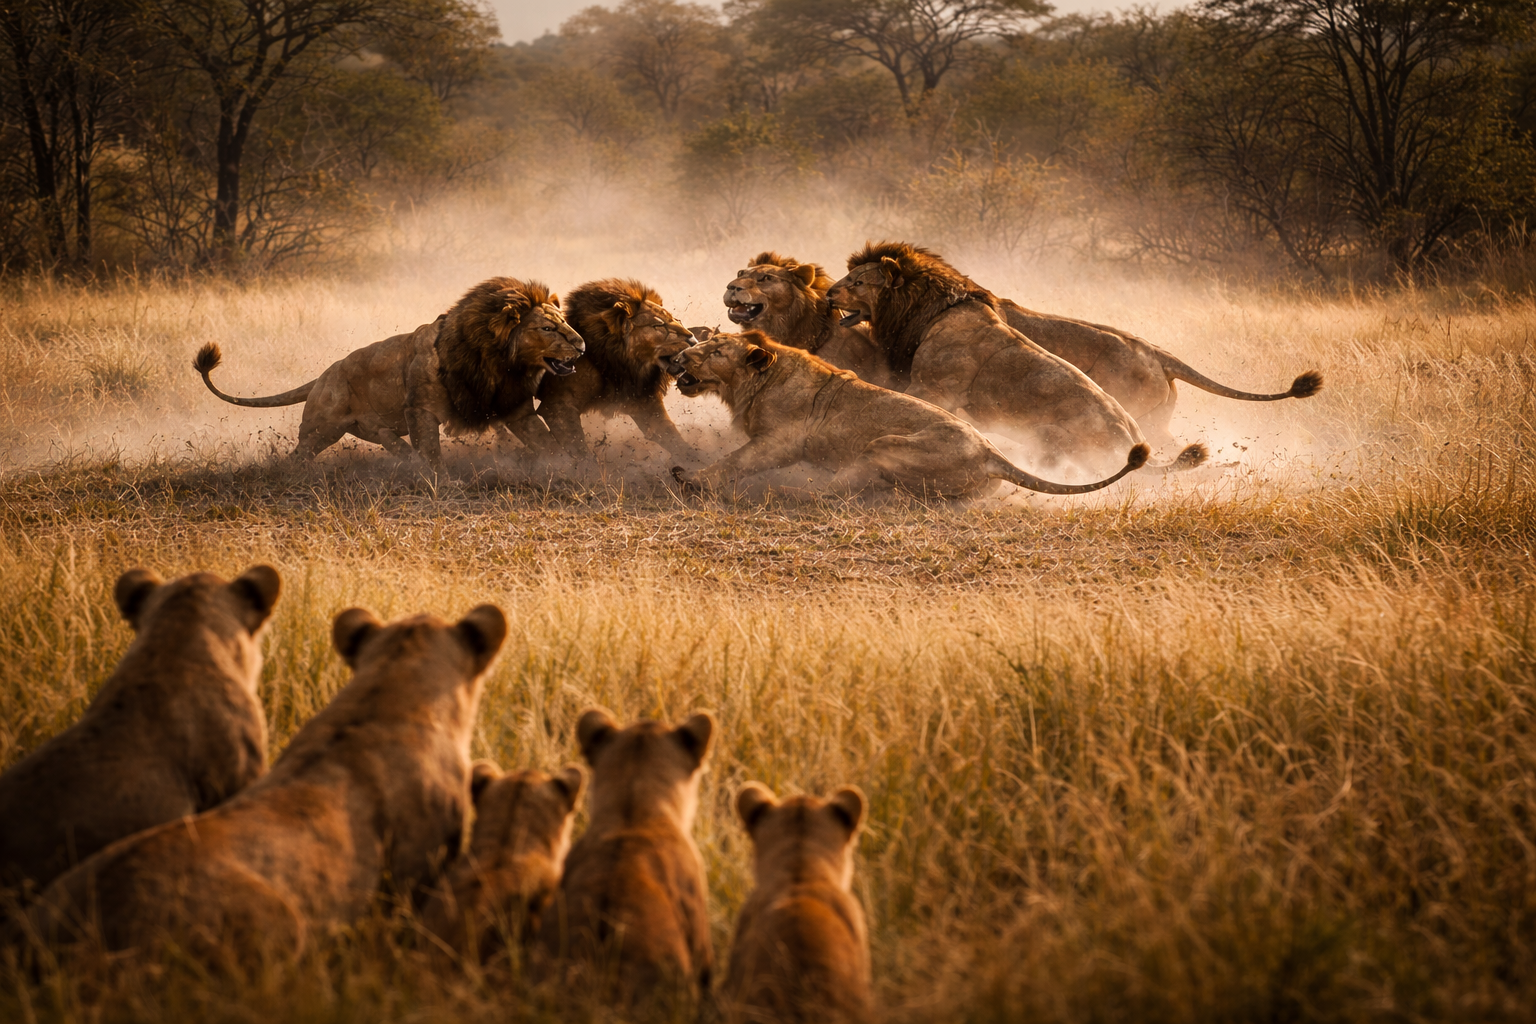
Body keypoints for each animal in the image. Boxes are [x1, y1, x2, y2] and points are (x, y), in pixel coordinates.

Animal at [193, 277, 585, 469]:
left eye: (564, 322)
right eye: (548, 329)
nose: (581, 345)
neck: (501, 363)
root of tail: (322, 376)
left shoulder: (516, 410)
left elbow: (548, 442)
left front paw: (571, 466)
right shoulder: (420, 409)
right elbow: (431, 451)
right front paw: (441, 481)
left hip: (368, 428)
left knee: (390, 442)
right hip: (322, 429)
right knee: (300, 453)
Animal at [537, 279, 700, 461]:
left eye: (676, 319)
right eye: (658, 325)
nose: (694, 341)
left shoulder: (644, 403)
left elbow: (677, 442)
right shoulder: (557, 406)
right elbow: (580, 450)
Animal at [666, 331, 1150, 499]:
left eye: (715, 351)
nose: (681, 357)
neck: (750, 384)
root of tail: (992, 453)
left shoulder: (781, 441)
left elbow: (736, 461)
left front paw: (693, 479)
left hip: (883, 445)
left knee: (836, 493)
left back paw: (795, 492)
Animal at [827, 242, 1208, 477]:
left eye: (857, 282)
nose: (829, 294)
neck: (929, 311)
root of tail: (1127, 439)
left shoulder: (932, 389)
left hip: (1051, 434)